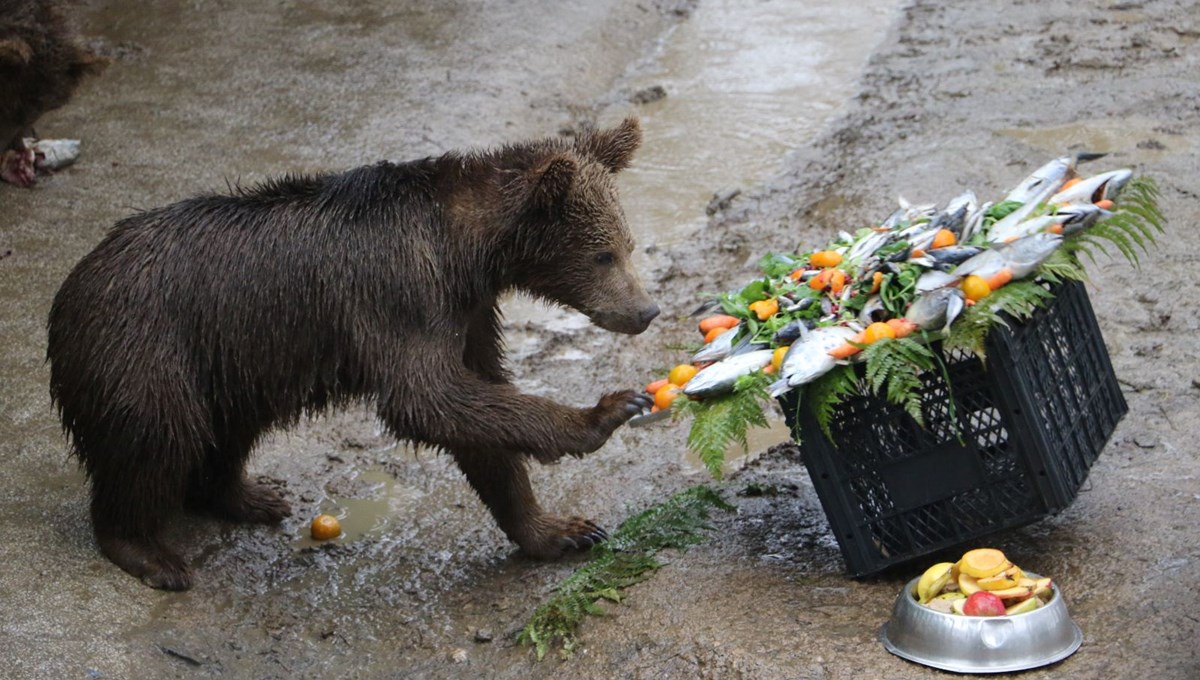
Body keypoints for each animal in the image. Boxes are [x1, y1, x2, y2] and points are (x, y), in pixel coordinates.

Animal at [46, 116, 662, 590]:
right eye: (604, 254)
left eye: (628, 246)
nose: (646, 310)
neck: (465, 249)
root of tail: (71, 284)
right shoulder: (399, 294)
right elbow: (429, 398)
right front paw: (606, 412)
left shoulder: (466, 313)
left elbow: (479, 413)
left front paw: (560, 529)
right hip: (146, 345)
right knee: (155, 435)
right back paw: (150, 551)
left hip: (236, 356)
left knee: (230, 427)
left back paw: (252, 495)